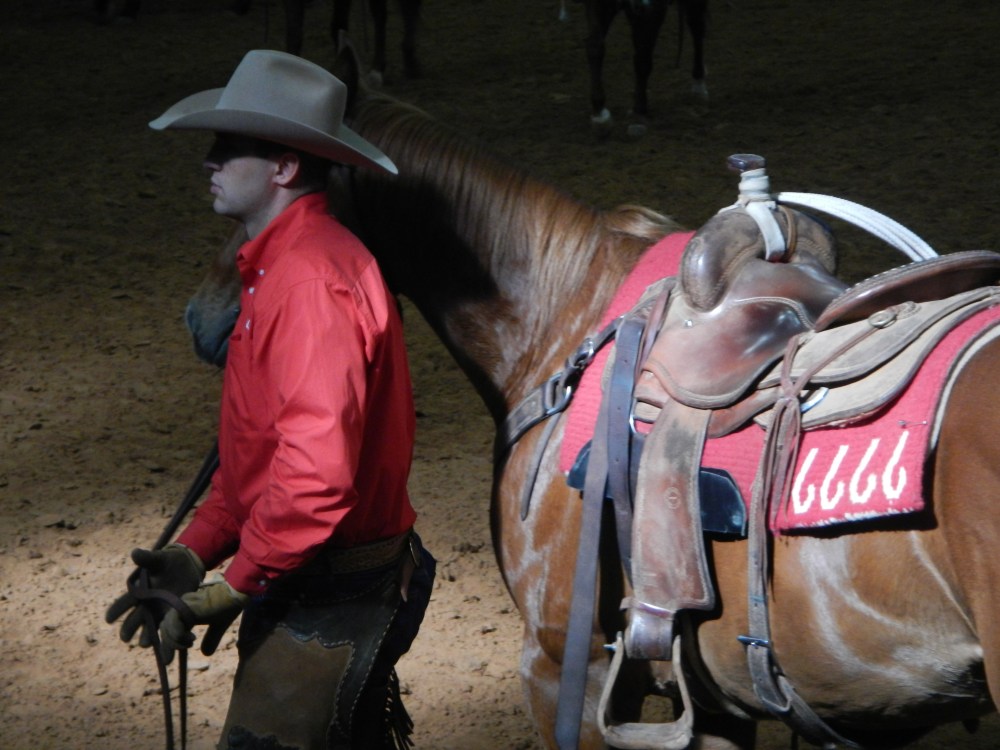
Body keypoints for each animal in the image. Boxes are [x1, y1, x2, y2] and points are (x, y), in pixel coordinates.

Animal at [571, 0, 709, 138]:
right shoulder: (599, 5)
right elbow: (595, 47)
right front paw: (600, 114)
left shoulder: (651, 12)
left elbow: (643, 60)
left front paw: (638, 113)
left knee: (696, 25)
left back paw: (699, 83)